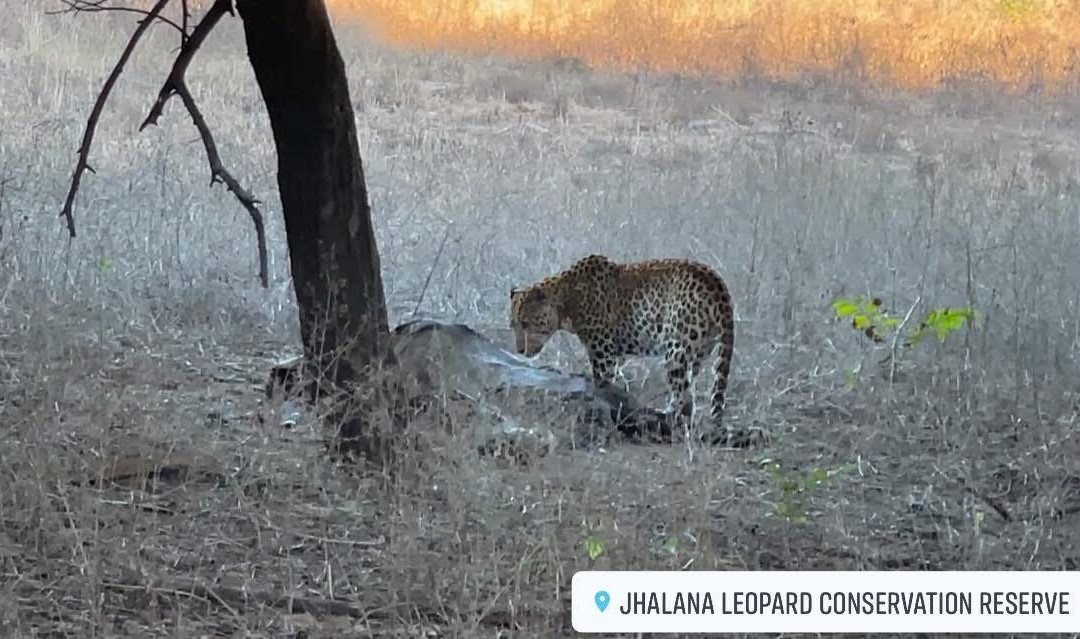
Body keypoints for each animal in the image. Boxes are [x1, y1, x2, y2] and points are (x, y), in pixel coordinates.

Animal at [509, 254, 757, 447]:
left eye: (526, 323)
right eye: (514, 325)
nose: (520, 350)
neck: (566, 298)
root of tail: (719, 286)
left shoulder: (602, 351)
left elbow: (602, 382)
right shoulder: (615, 354)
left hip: (675, 350)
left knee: (684, 398)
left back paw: (666, 422)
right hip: (697, 352)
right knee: (688, 391)